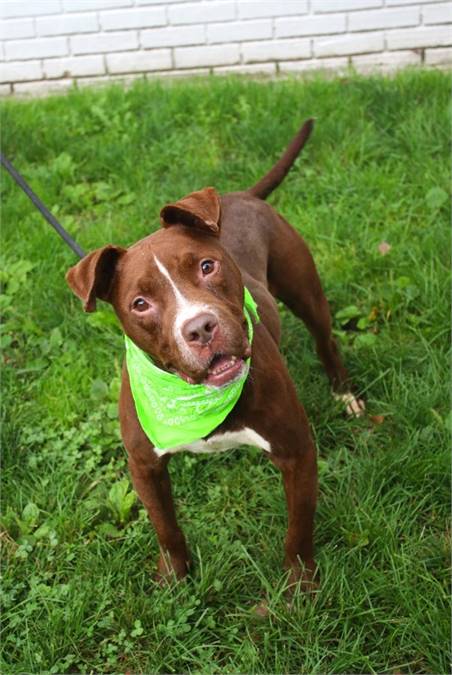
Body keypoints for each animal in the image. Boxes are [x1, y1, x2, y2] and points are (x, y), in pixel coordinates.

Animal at [66, 121, 364, 592]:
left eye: (207, 267)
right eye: (139, 304)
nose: (200, 327)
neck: (197, 399)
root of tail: (240, 194)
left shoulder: (297, 452)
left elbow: (298, 531)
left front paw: (299, 587)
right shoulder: (144, 465)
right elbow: (166, 528)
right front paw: (174, 579)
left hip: (304, 290)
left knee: (325, 341)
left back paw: (345, 395)